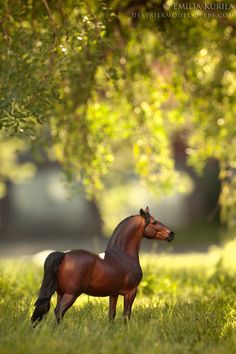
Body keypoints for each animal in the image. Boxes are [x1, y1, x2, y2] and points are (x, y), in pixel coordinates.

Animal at [31, 206, 174, 324]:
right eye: (154, 222)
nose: (171, 234)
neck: (123, 255)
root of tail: (64, 255)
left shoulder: (114, 294)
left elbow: (112, 314)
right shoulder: (131, 292)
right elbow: (126, 315)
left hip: (61, 293)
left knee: (56, 311)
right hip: (71, 294)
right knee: (59, 311)